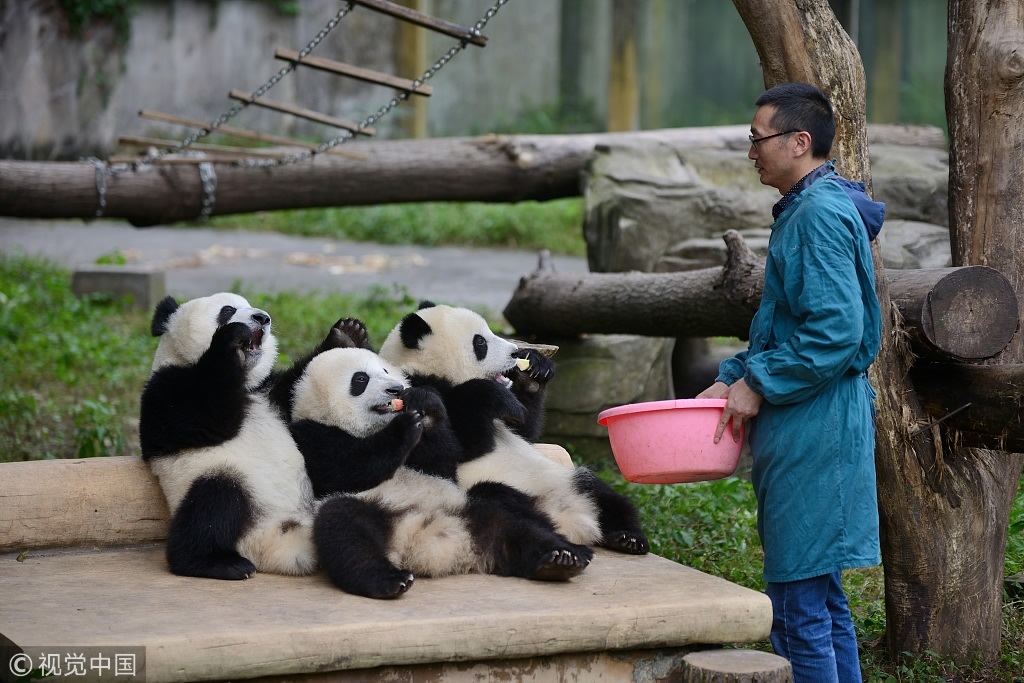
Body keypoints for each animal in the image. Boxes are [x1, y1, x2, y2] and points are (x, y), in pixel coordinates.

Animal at [139, 292, 317, 580]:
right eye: (228, 310)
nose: (262, 318)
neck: (245, 384)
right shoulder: (166, 390)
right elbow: (206, 413)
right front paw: (232, 337)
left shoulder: (270, 391)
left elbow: (299, 387)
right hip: (225, 481)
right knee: (214, 504)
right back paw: (220, 563)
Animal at [289, 343, 595, 599]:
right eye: (360, 379)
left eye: (386, 371)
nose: (396, 390)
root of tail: (435, 542)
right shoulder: (309, 438)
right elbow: (346, 469)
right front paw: (404, 426)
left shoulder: (439, 467)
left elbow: (444, 462)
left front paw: (424, 404)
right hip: (373, 511)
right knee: (345, 532)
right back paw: (390, 581)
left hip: (472, 510)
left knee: (516, 526)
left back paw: (561, 559)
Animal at [378, 302, 650, 555]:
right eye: (480, 342)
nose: (515, 351)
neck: (430, 369)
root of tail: (574, 520)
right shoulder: (414, 393)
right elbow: (454, 452)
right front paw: (493, 395)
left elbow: (525, 429)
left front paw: (534, 371)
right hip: (489, 491)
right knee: (502, 506)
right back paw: (558, 547)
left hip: (566, 478)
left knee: (604, 494)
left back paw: (627, 537)